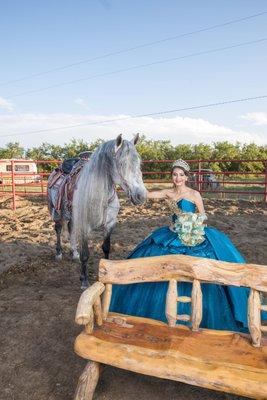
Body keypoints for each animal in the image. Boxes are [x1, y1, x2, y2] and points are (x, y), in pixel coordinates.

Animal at [73, 134, 147, 288]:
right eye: (121, 163)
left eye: (139, 162)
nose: (141, 196)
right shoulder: (83, 227)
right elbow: (85, 254)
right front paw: (84, 280)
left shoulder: (110, 224)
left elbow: (106, 247)